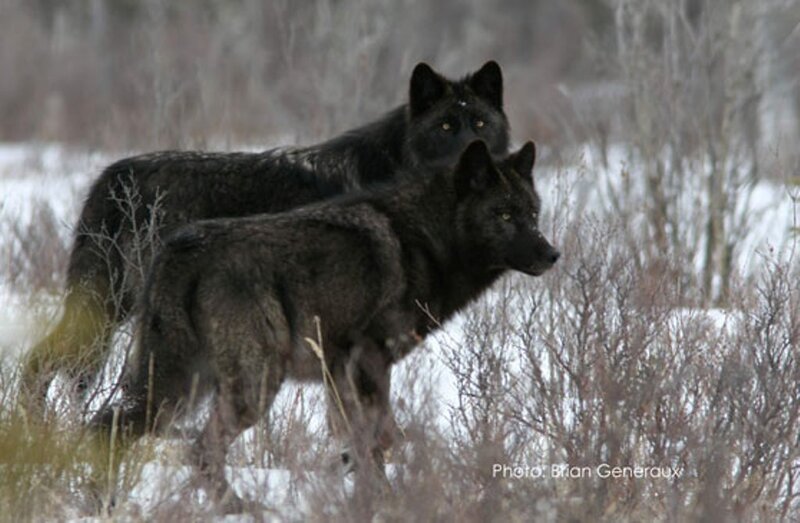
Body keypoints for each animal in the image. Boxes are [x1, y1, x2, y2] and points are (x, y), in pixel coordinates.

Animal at [91, 140, 559, 512]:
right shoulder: (369, 363)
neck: (425, 239)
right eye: (503, 215)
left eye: (533, 213)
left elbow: (360, 446)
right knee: (199, 448)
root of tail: (180, 248)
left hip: (182, 386)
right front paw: (384, 503)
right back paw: (239, 509)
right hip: (251, 385)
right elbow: (376, 442)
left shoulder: (340, 374)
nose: (552, 254)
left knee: (108, 425)